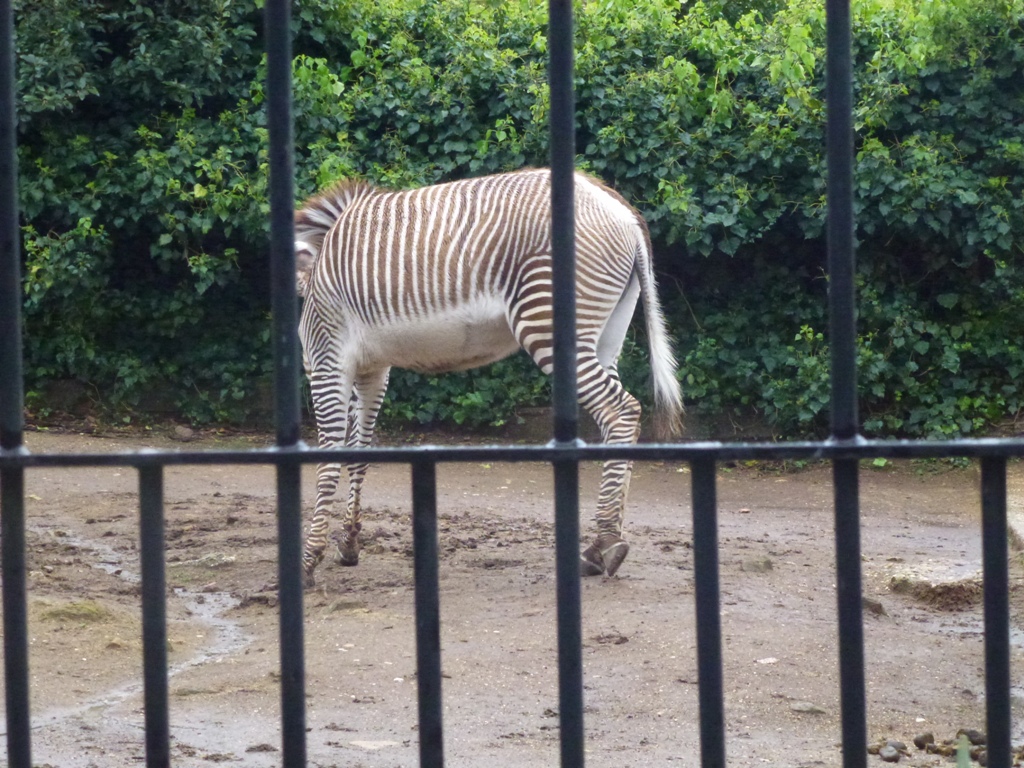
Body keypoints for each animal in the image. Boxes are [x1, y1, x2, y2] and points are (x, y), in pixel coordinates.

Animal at [294, 168, 683, 586]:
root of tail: (617, 207)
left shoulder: (327, 360)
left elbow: (329, 458)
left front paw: (308, 560)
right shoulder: (373, 370)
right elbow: (358, 452)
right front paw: (349, 544)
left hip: (547, 323)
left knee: (621, 410)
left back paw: (603, 543)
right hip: (607, 333)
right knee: (618, 414)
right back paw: (605, 542)